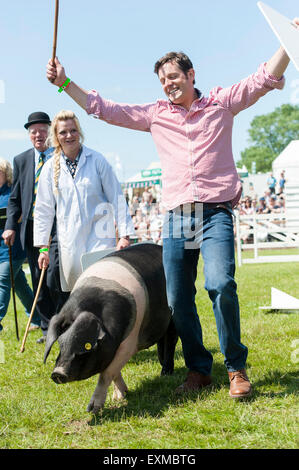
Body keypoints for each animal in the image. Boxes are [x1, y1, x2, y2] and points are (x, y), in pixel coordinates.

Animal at [42, 242, 178, 414]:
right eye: (60, 343)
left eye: (84, 347)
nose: (57, 373)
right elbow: (112, 370)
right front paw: (119, 397)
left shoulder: (129, 342)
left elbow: (106, 373)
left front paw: (92, 409)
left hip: (173, 316)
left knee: (171, 341)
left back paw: (166, 374)